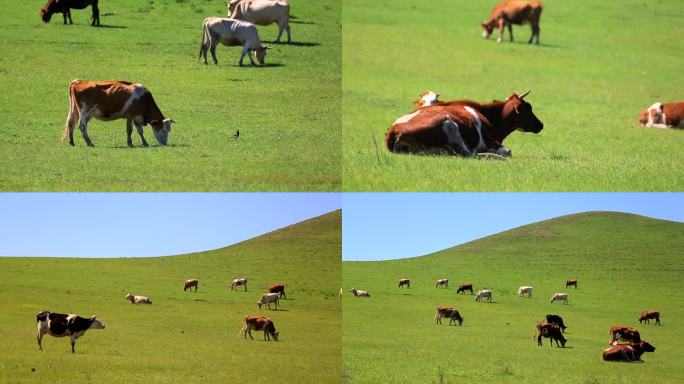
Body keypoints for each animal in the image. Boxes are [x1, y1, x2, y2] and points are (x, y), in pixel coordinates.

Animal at [388, 91, 544, 158]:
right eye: (528, 108)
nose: (541, 124)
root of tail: (394, 129)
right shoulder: (491, 141)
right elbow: (508, 151)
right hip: (450, 125)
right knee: (469, 154)